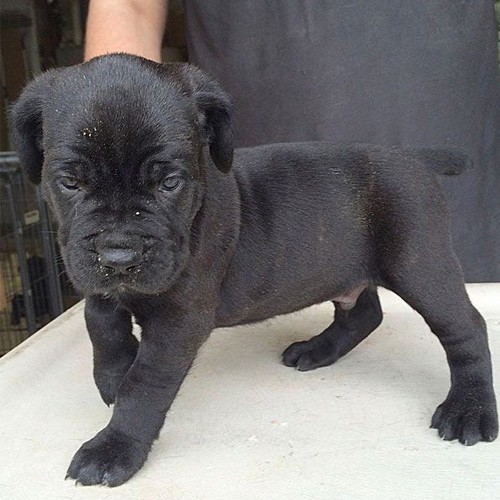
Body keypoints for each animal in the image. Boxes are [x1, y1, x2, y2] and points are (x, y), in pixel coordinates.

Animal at [10, 53, 496, 484]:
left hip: (420, 263)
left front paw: (115, 447)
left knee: (465, 327)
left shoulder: (180, 320)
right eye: (69, 182)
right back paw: (317, 350)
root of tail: (415, 158)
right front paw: (113, 372)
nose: (119, 255)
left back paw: (469, 408)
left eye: (170, 183)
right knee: (364, 312)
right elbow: (99, 317)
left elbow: (145, 384)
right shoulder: (93, 274)